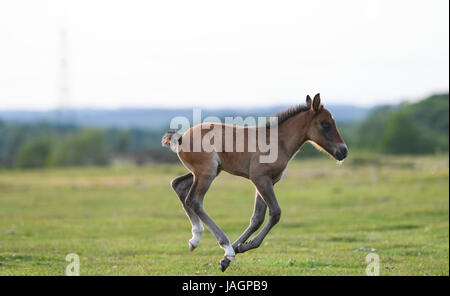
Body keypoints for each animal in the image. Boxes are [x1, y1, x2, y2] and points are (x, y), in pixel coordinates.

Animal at [162, 93, 348, 272]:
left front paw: (230, 256)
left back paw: (195, 239)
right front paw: (237, 250)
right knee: (194, 200)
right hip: (207, 172)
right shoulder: (260, 178)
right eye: (325, 124)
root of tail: (181, 137)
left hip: (206, 171)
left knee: (178, 185)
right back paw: (225, 245)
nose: (344, 151)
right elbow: (275, 213)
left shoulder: (268, 181)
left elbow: (257, 218)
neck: (277, 142)